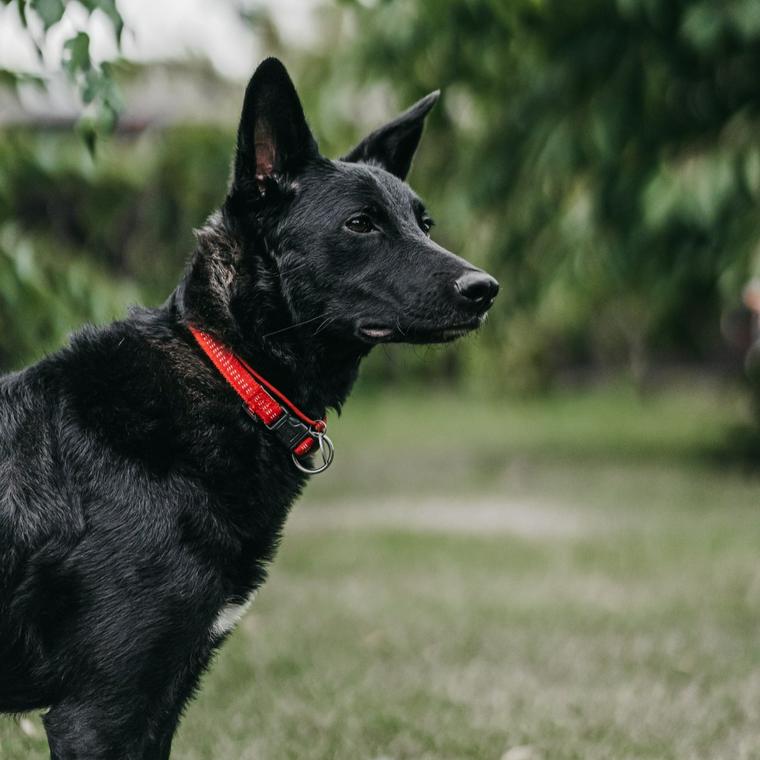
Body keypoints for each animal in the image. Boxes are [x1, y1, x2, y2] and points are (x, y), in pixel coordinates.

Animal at [0, 60, 498, 760]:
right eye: (360, 224)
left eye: (423, 225)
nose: (486, 289)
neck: (229, 373)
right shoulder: (97, 714)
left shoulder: (159, 702)